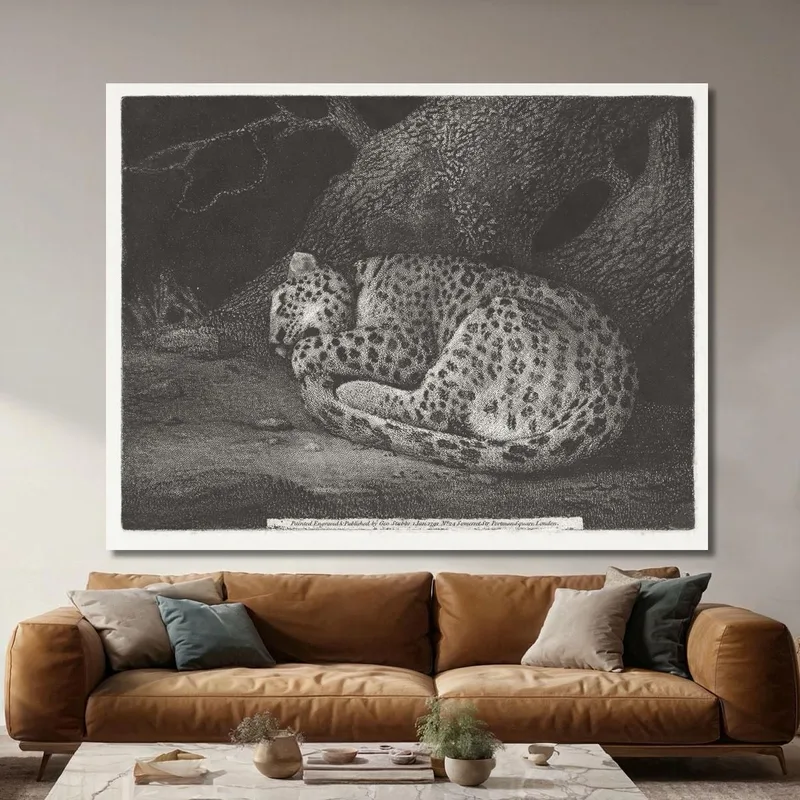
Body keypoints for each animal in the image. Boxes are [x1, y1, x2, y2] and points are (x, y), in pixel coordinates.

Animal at [269, 251, 637, 473]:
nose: (274, 344)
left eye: (282, 302)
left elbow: (334, 343)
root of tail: (618, 389)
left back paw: (352, 390)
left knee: (432, 407)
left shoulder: (405, 344)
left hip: (491, 320)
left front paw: (302, 357)